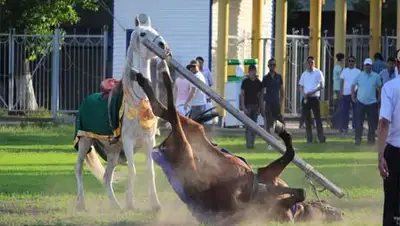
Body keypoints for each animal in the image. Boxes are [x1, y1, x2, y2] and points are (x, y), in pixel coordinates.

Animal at [73, 18, 169, 211]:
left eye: (155, 30)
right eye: (143, 34)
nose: (163, 45)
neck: (138, 101)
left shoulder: (149, 141)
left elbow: (151, 171)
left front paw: (155, 204)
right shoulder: (128, 141)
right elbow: (132, 170)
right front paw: (130, 203)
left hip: (113, 152)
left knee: (106, 177)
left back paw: (115, 205)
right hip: (85, 141)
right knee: (78, 168)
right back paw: (81, 203)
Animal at [135, 61, 344, 225]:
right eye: (326, 205)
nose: (341, 213)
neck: (296, 210)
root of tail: (163, 151)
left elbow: (300, 190)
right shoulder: (268, 173)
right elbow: (291, 160)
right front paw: (282, 131)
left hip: (187, 148)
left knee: (167, 112)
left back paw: (152, 77)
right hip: (193, 133)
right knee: (168, 111)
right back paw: (158, 74)